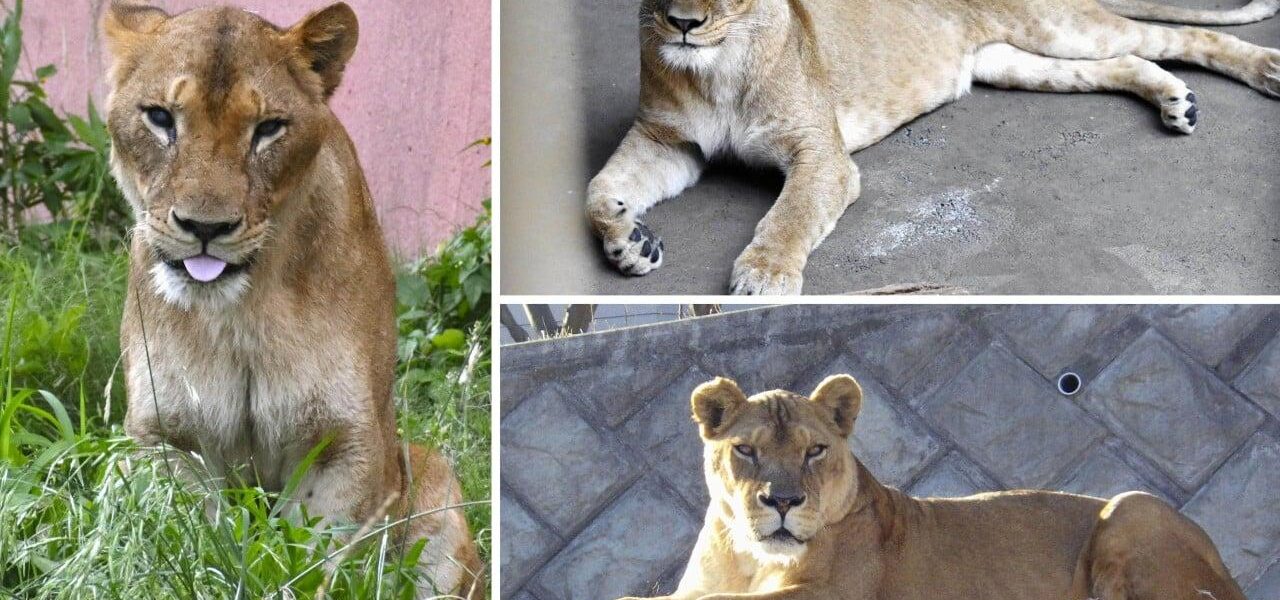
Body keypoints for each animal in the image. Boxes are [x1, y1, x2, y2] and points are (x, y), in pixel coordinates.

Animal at [103, 2, 483, 597]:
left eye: (268, 128)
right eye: (160, 118)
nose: (205, 228)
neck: (242, 311)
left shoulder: (348, 441)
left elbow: (319, 560)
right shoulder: (164, 437)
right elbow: (191, 540)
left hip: (434, 480)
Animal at [587, 0, 1280, 294]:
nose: (683, 23)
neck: (716, 68)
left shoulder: (823, 155)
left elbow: (791, 215)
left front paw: (765, 278)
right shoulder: (669, 141)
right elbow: (598, 191)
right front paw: (631, 243)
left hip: (1059, 29)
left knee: (1174, 35)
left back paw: (1266, 70)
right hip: (1013, 61)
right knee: (1126, 61)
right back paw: (1174, 99)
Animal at [618, 375, 1246, 600]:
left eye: (814, 450)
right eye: (745, 450)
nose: (783, 501)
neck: (751, 559)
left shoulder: (828, 597)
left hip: (1130, 506)